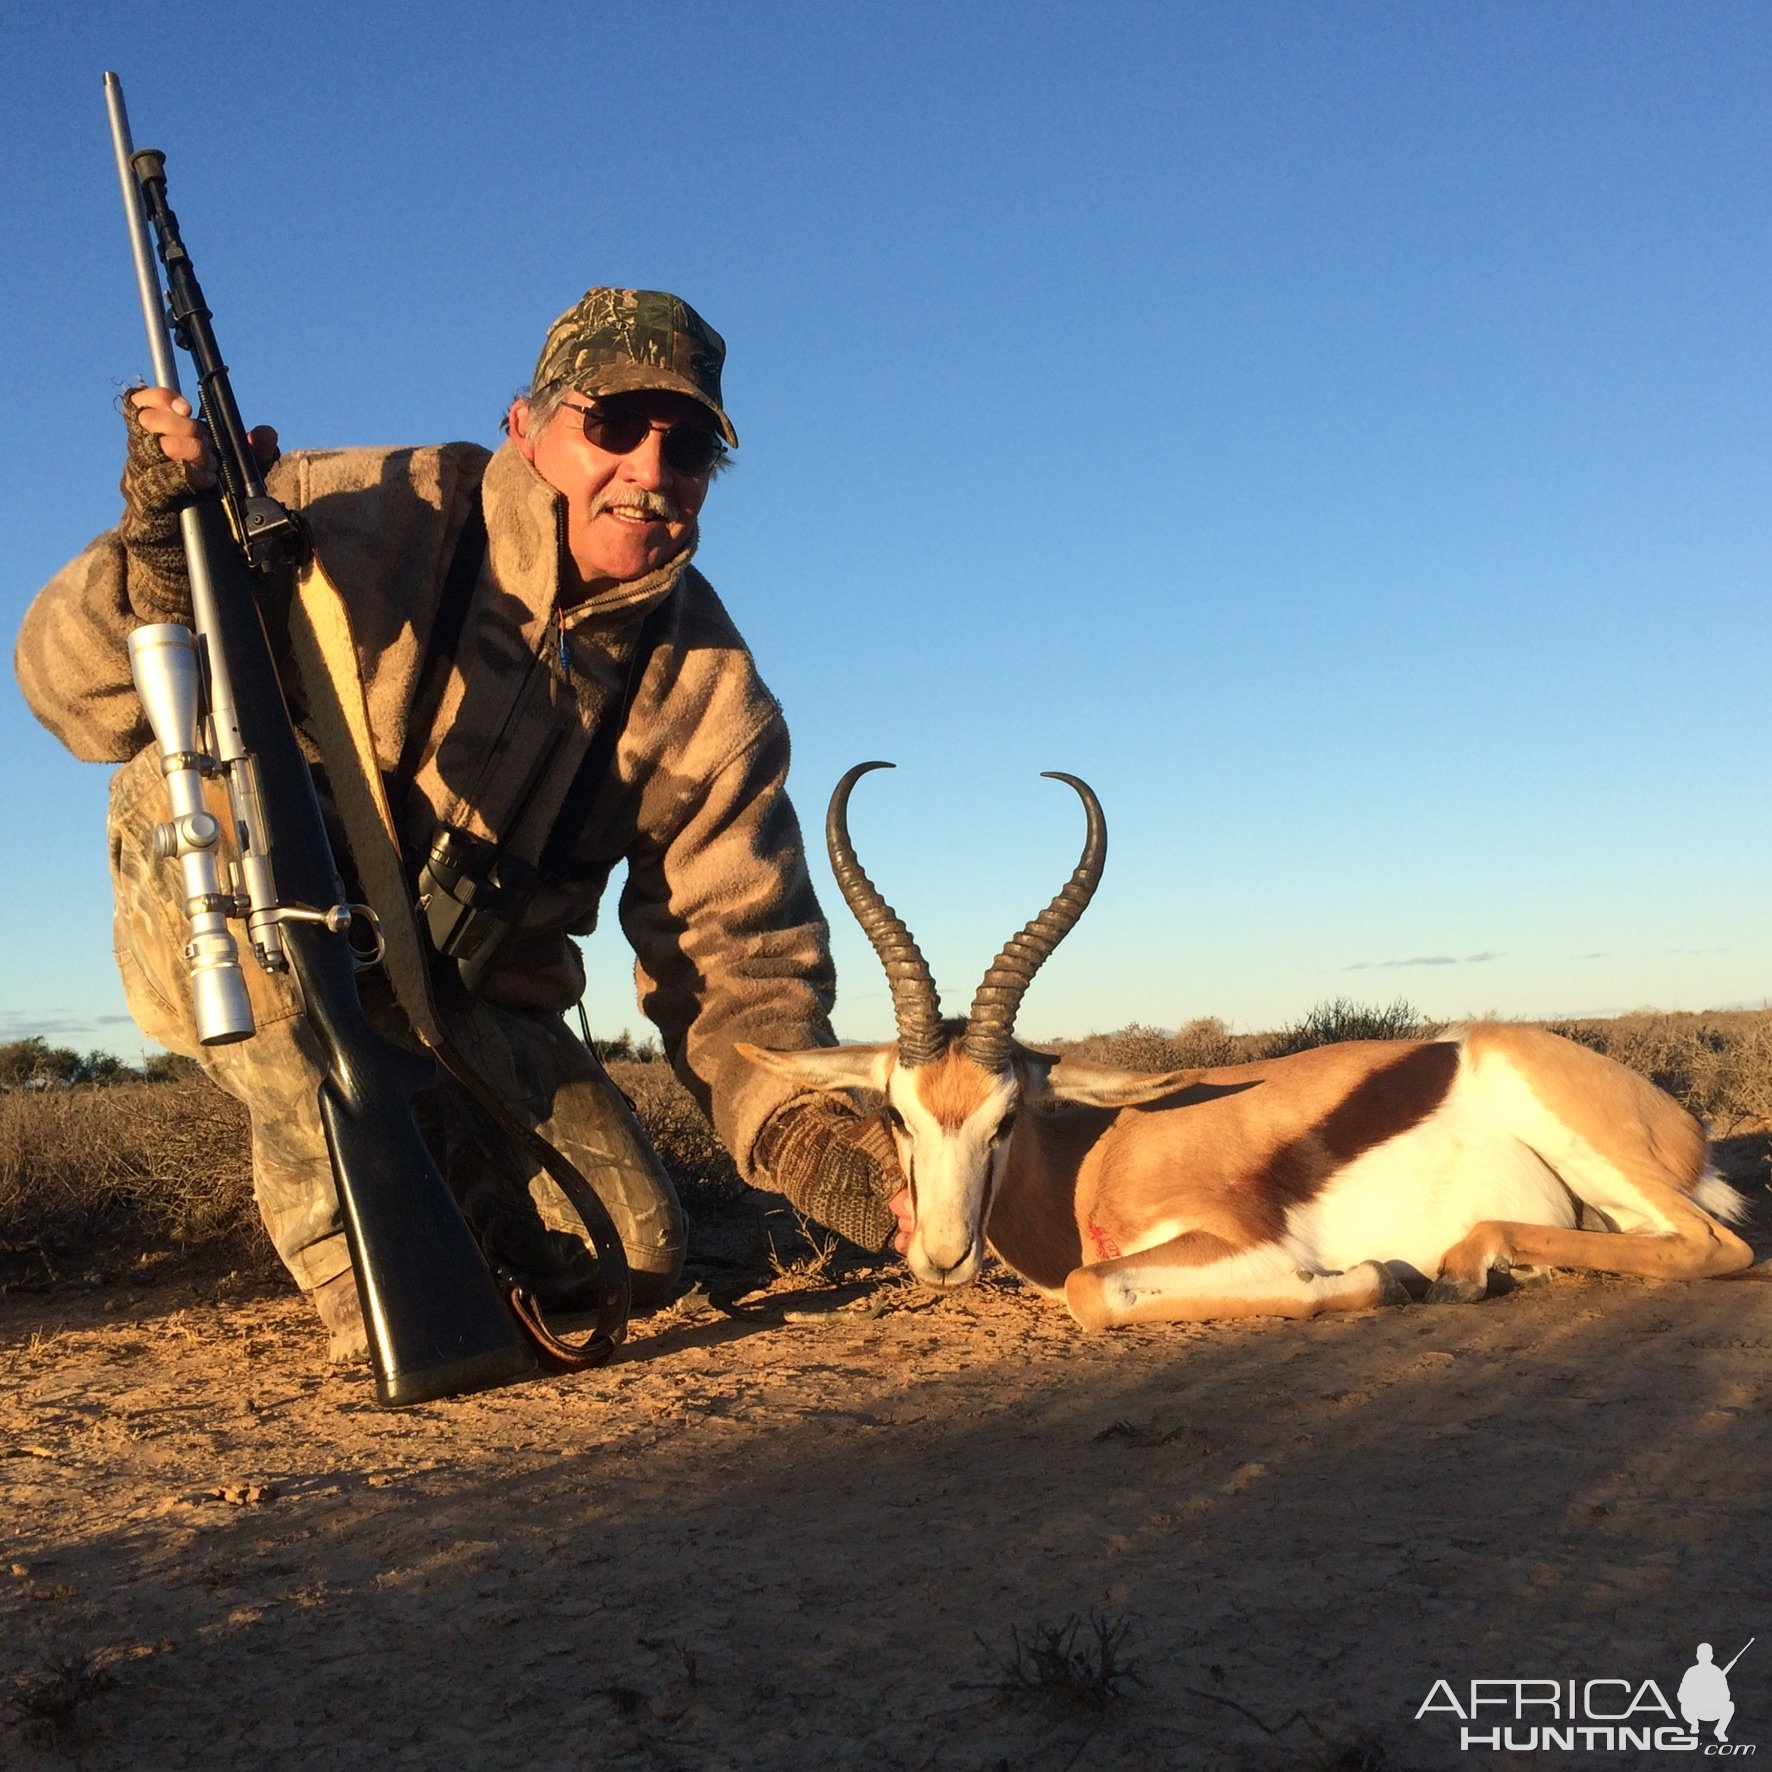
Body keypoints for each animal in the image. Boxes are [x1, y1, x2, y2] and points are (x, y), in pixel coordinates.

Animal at [737, 761, 1757, 1332]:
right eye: (897, 1116)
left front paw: (1371, 1275)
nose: (944, 1257)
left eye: (1007, 1116)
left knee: (1719, 1246)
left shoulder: (1240, 1241)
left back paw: (1463, 1266)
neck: (1095, 1160)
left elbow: (1093, 1291)